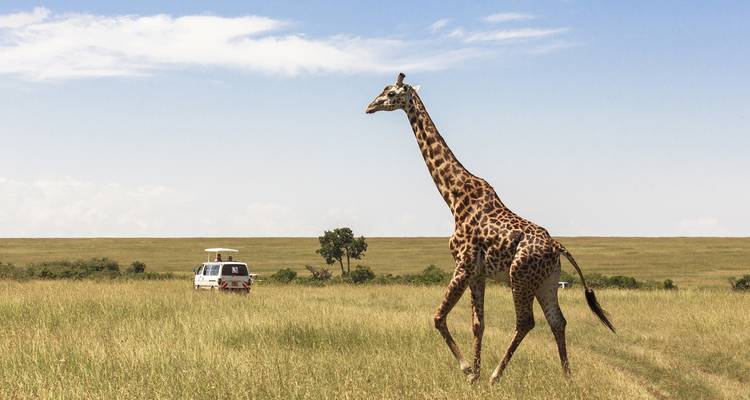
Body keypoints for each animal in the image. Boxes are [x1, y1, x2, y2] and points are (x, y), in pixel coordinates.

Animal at [366, 73, 615, 384]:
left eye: (390, 93)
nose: (370, 107)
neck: (454, 197)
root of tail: (559, 247)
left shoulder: (463, 264)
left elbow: (438, 317)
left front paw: (468, 369)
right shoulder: (478, 272)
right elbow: (477, 324)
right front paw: (474, 375)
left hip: (520, 276)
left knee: (526, 322)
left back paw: (497, 375)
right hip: (546, 281)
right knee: (557, 320)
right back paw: (567, 378)